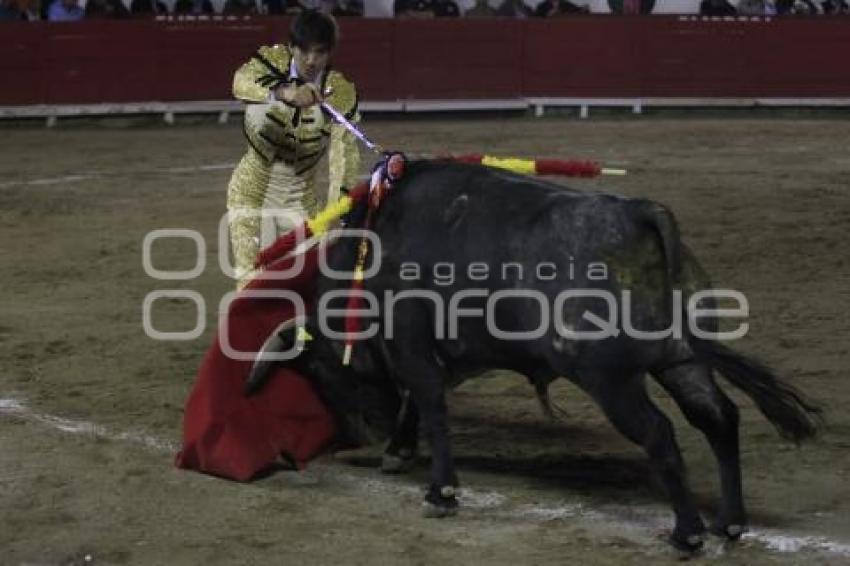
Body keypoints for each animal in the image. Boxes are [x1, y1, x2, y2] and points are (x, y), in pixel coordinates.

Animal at [248, 161, 820, 556]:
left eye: (322, 371)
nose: (362, 434)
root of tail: (638, 212)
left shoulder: (413, 347)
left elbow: (431, 405)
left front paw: (440, 491)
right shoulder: (454, 355)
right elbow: (424, 400)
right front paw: (400, 451)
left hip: (608, 378)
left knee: (660, 433)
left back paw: (687, 534)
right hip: (682, 361)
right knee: (719, 418)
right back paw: (730, 522)